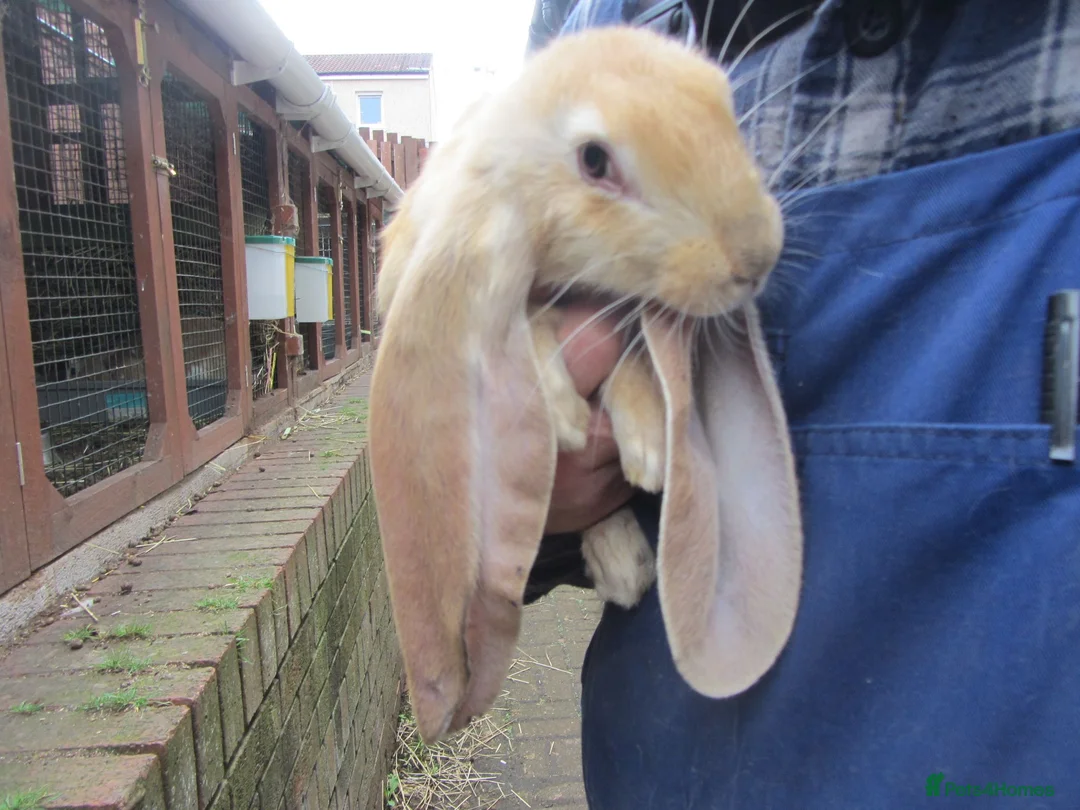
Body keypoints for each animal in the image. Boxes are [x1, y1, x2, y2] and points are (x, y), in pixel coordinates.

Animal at [369, 24, 803, 744]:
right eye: (596, 160)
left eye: (720, 99)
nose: (757, 256)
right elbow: (534, 327)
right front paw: (567, 416)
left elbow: (632, 358)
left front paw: (649, 448)